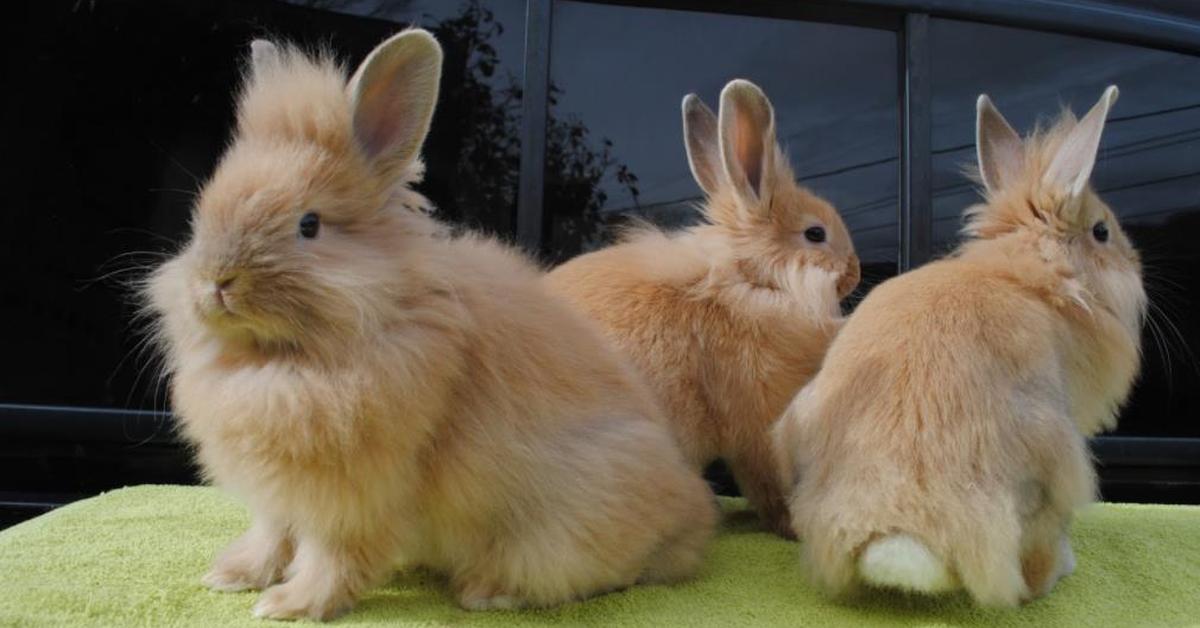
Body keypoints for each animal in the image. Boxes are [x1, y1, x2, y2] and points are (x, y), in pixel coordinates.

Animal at [145, 28, 715, 619]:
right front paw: (233, 576)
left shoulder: (358, 496)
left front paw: (291, 604)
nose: (215, 282)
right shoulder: (282, 493)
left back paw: (489, 591)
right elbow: (272, 533)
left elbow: (335, 553)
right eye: (203, 210)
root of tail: (693, 517)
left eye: (309, 225)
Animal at [544, 79, 864, 540]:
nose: (855, 272)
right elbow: (768, 480)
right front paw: (791, 525)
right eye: (815, 234)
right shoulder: (759, 422)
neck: (751, 283)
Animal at [772, 85, 1147, 607]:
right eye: (1102, 232)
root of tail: (895, 527)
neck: (1031, 276)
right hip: (1056, 463)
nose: (1135, 259)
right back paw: (1059, 571)